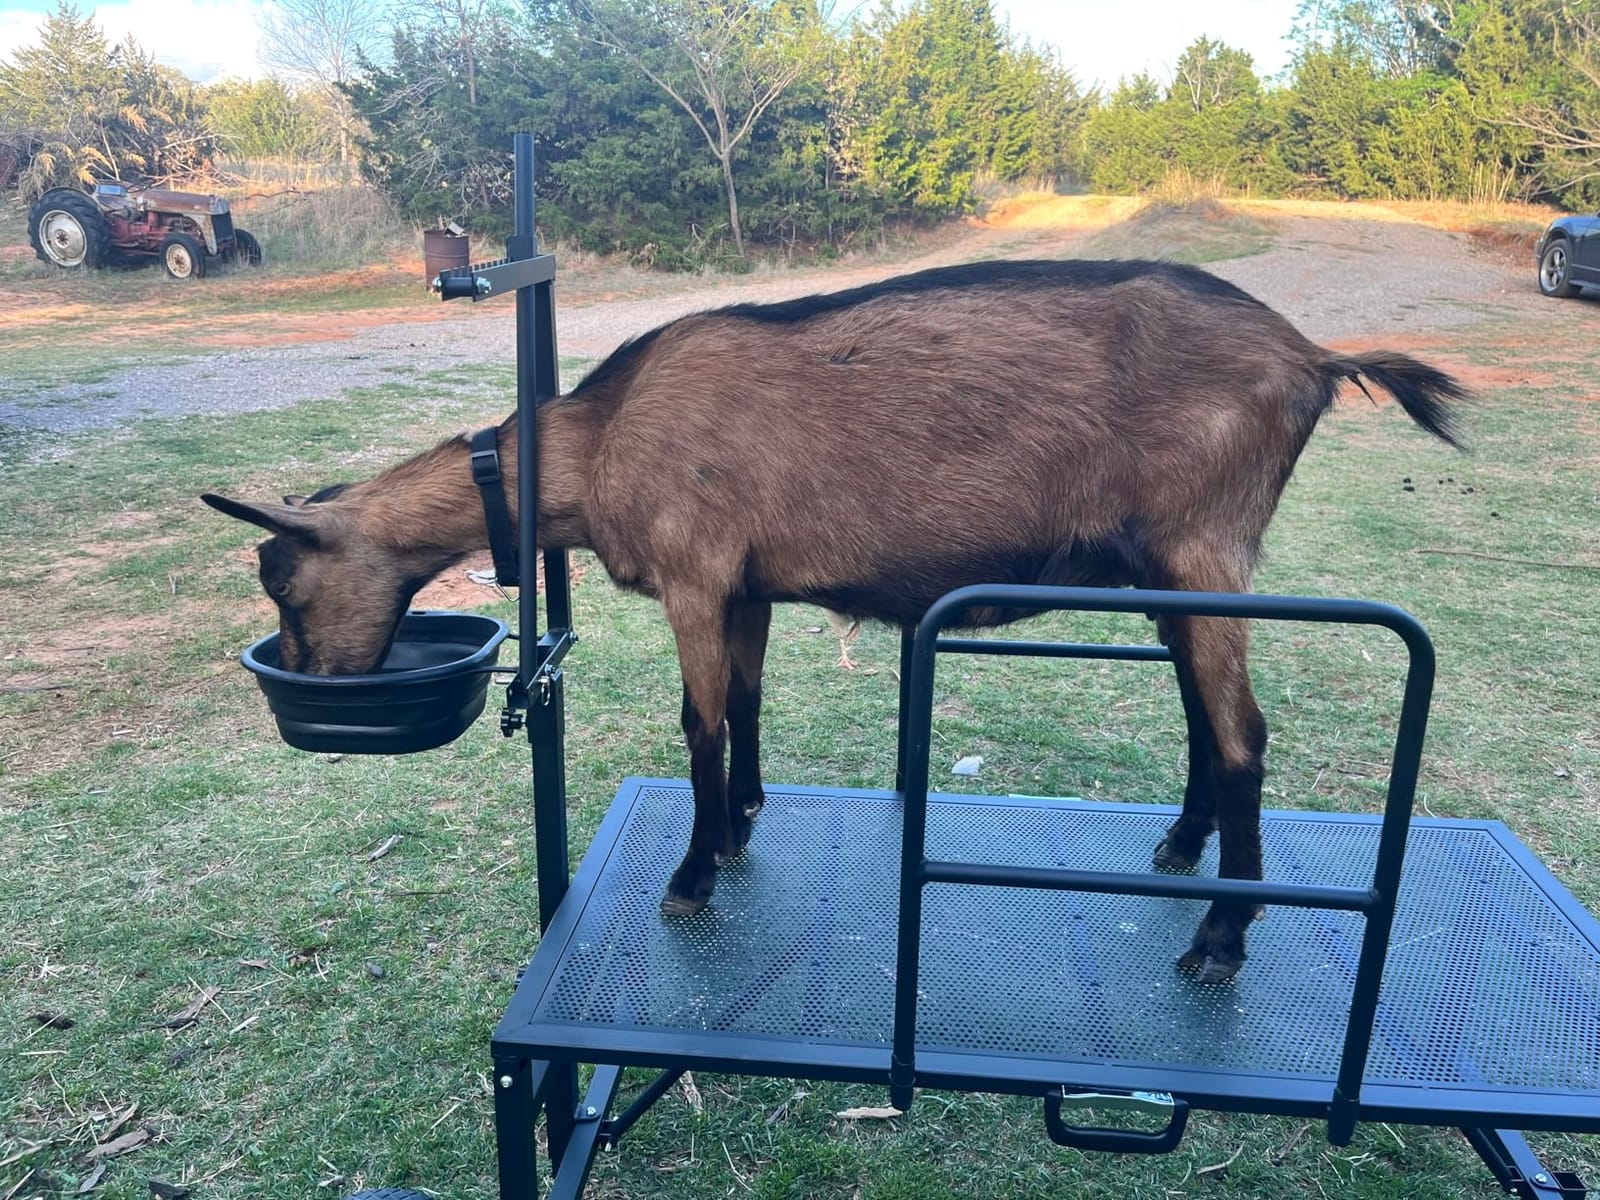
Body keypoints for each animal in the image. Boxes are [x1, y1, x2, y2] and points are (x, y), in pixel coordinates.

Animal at [203, 258, 1464, 983]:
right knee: (1208, 722)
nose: (312, 677)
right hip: (1170, 572)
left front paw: (691, 875)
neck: (596, 441)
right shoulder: (745, 585)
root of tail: (1309, 355)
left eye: (278, 578)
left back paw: (1219, 940)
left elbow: (696, 725)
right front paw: (741, 824)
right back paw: (1180, 847)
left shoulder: (694, 570)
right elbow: (744, 707)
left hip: (1207, 545)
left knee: (1244, 736)